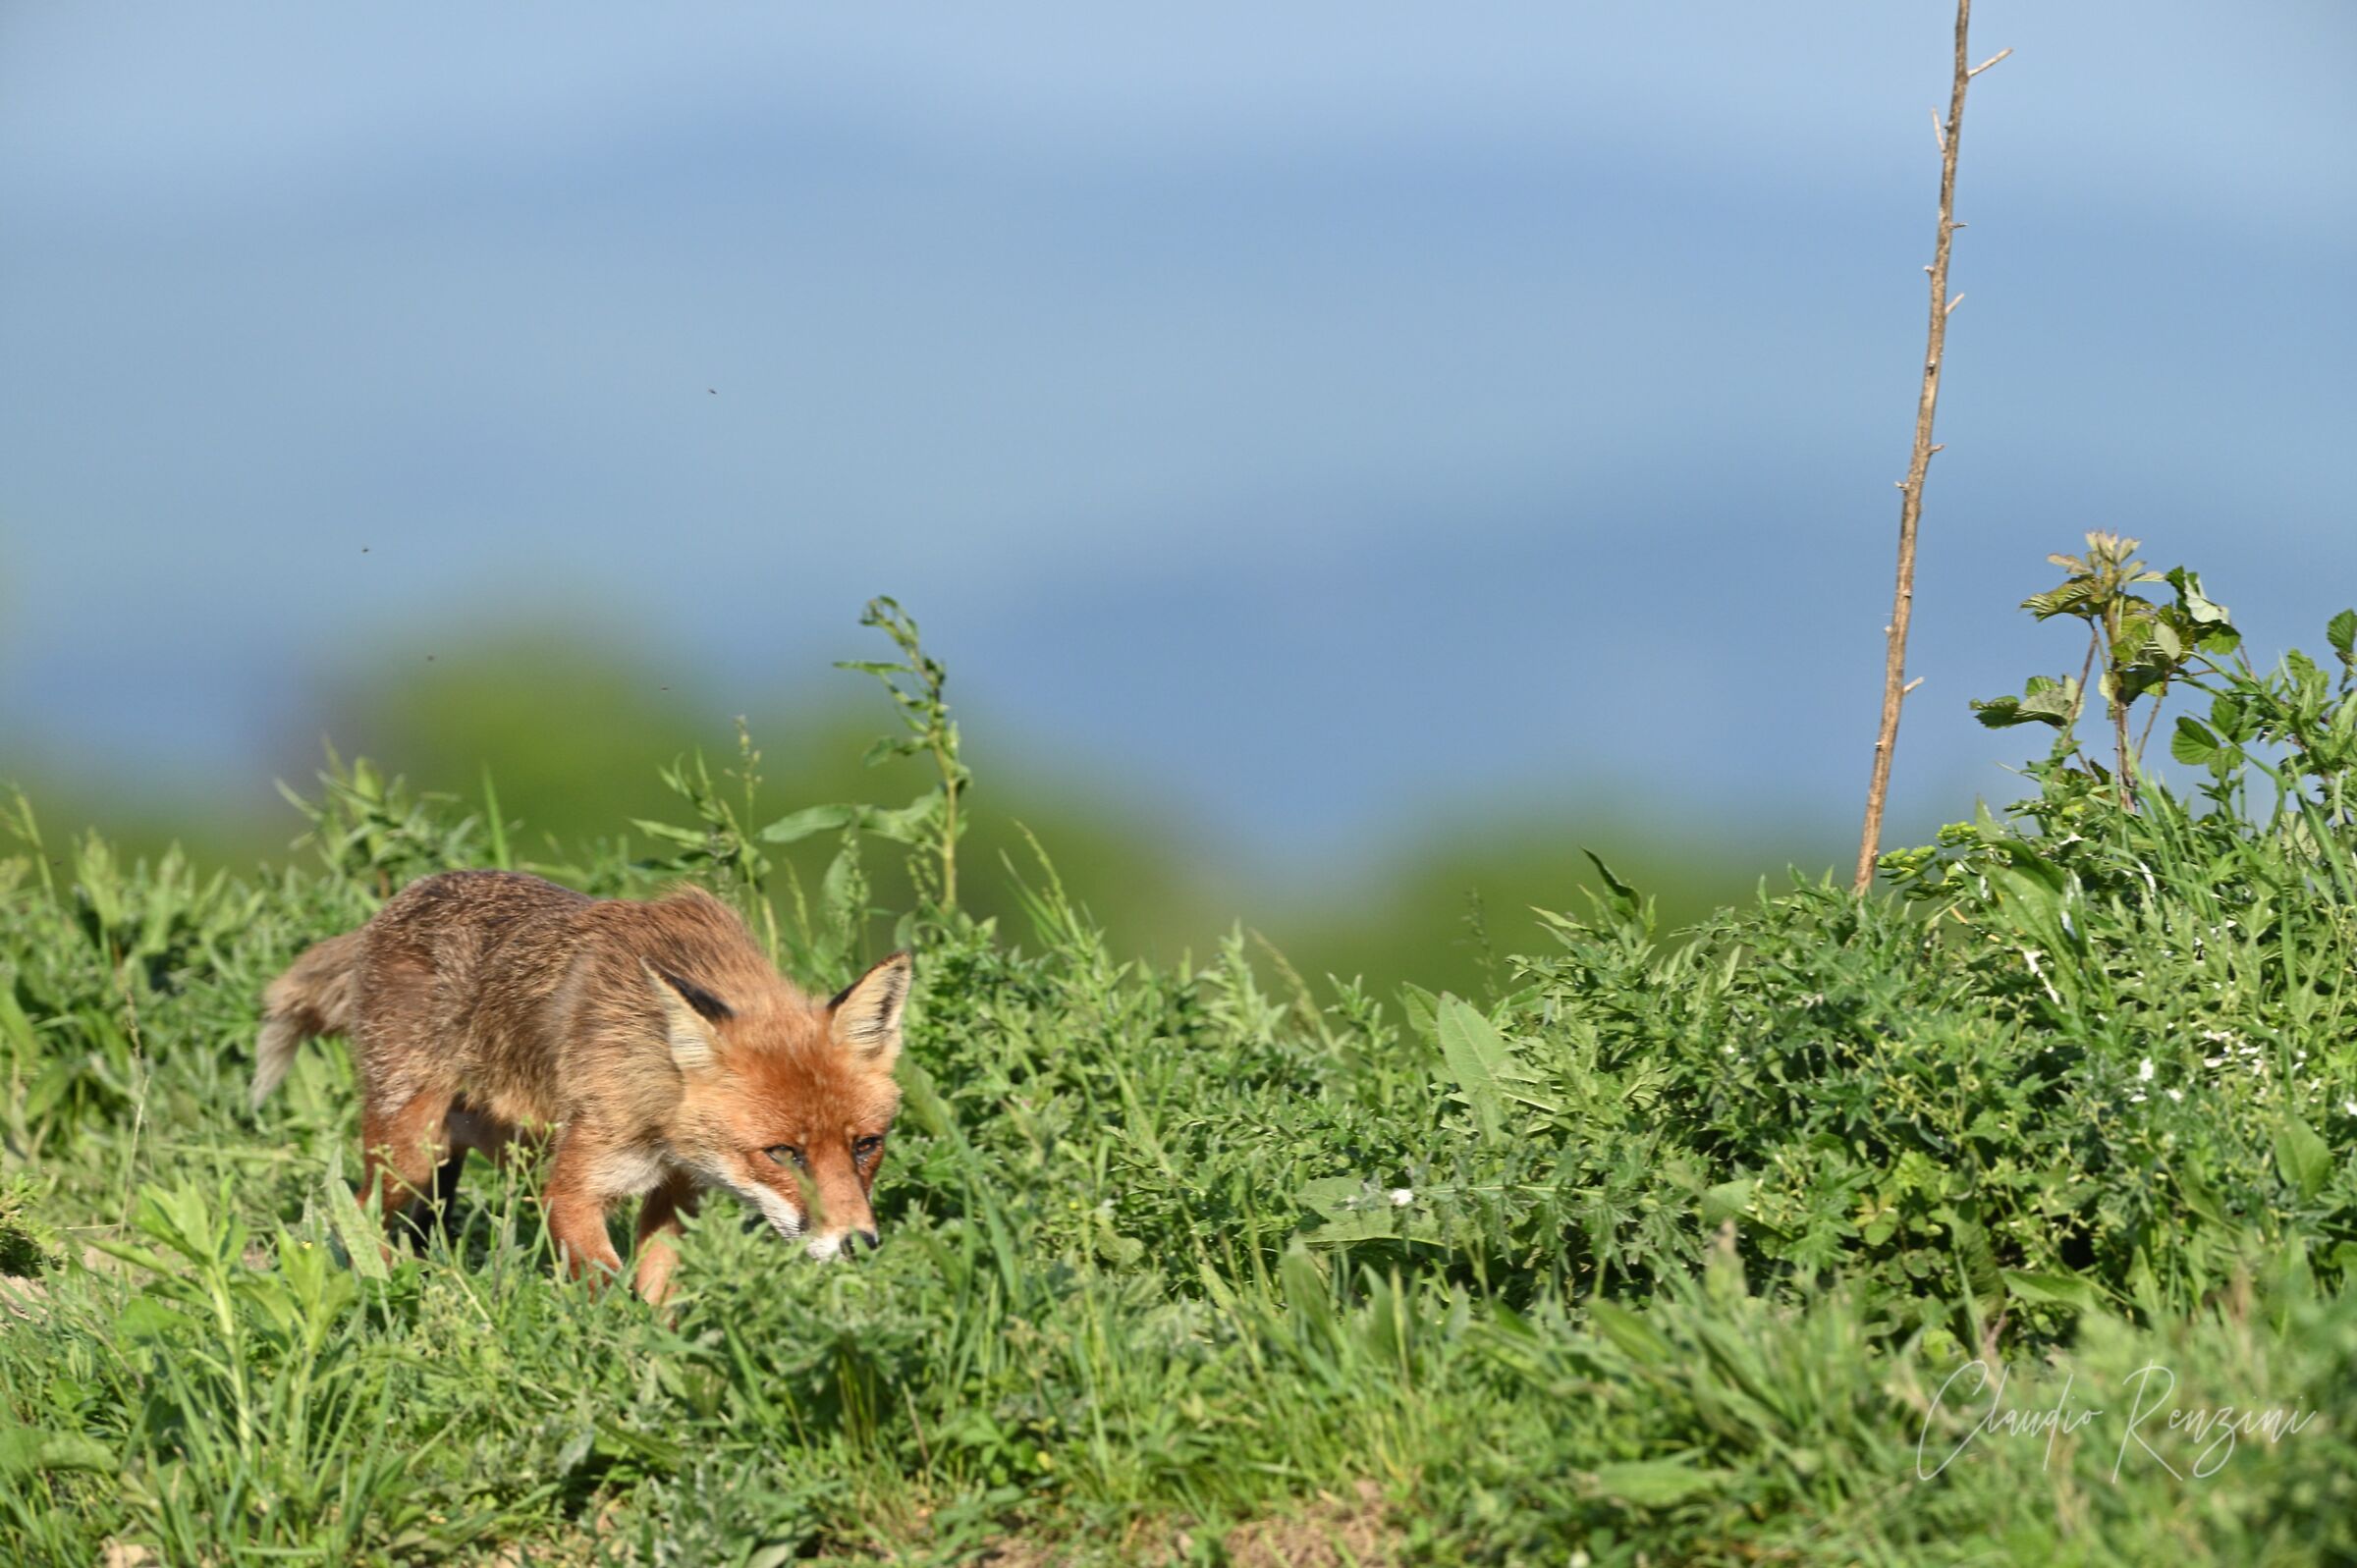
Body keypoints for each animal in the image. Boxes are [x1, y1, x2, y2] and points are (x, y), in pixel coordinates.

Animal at [252, 868, 909, 1303]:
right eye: (783, 1153)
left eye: (866, 1146)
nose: (858, 1243)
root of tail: (401, 898)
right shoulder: (571, 1189)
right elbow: (606, 1287)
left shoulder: (678, 1191)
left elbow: (659, 1291)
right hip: (409, 1155)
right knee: (355, 1219)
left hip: (453, 1157)